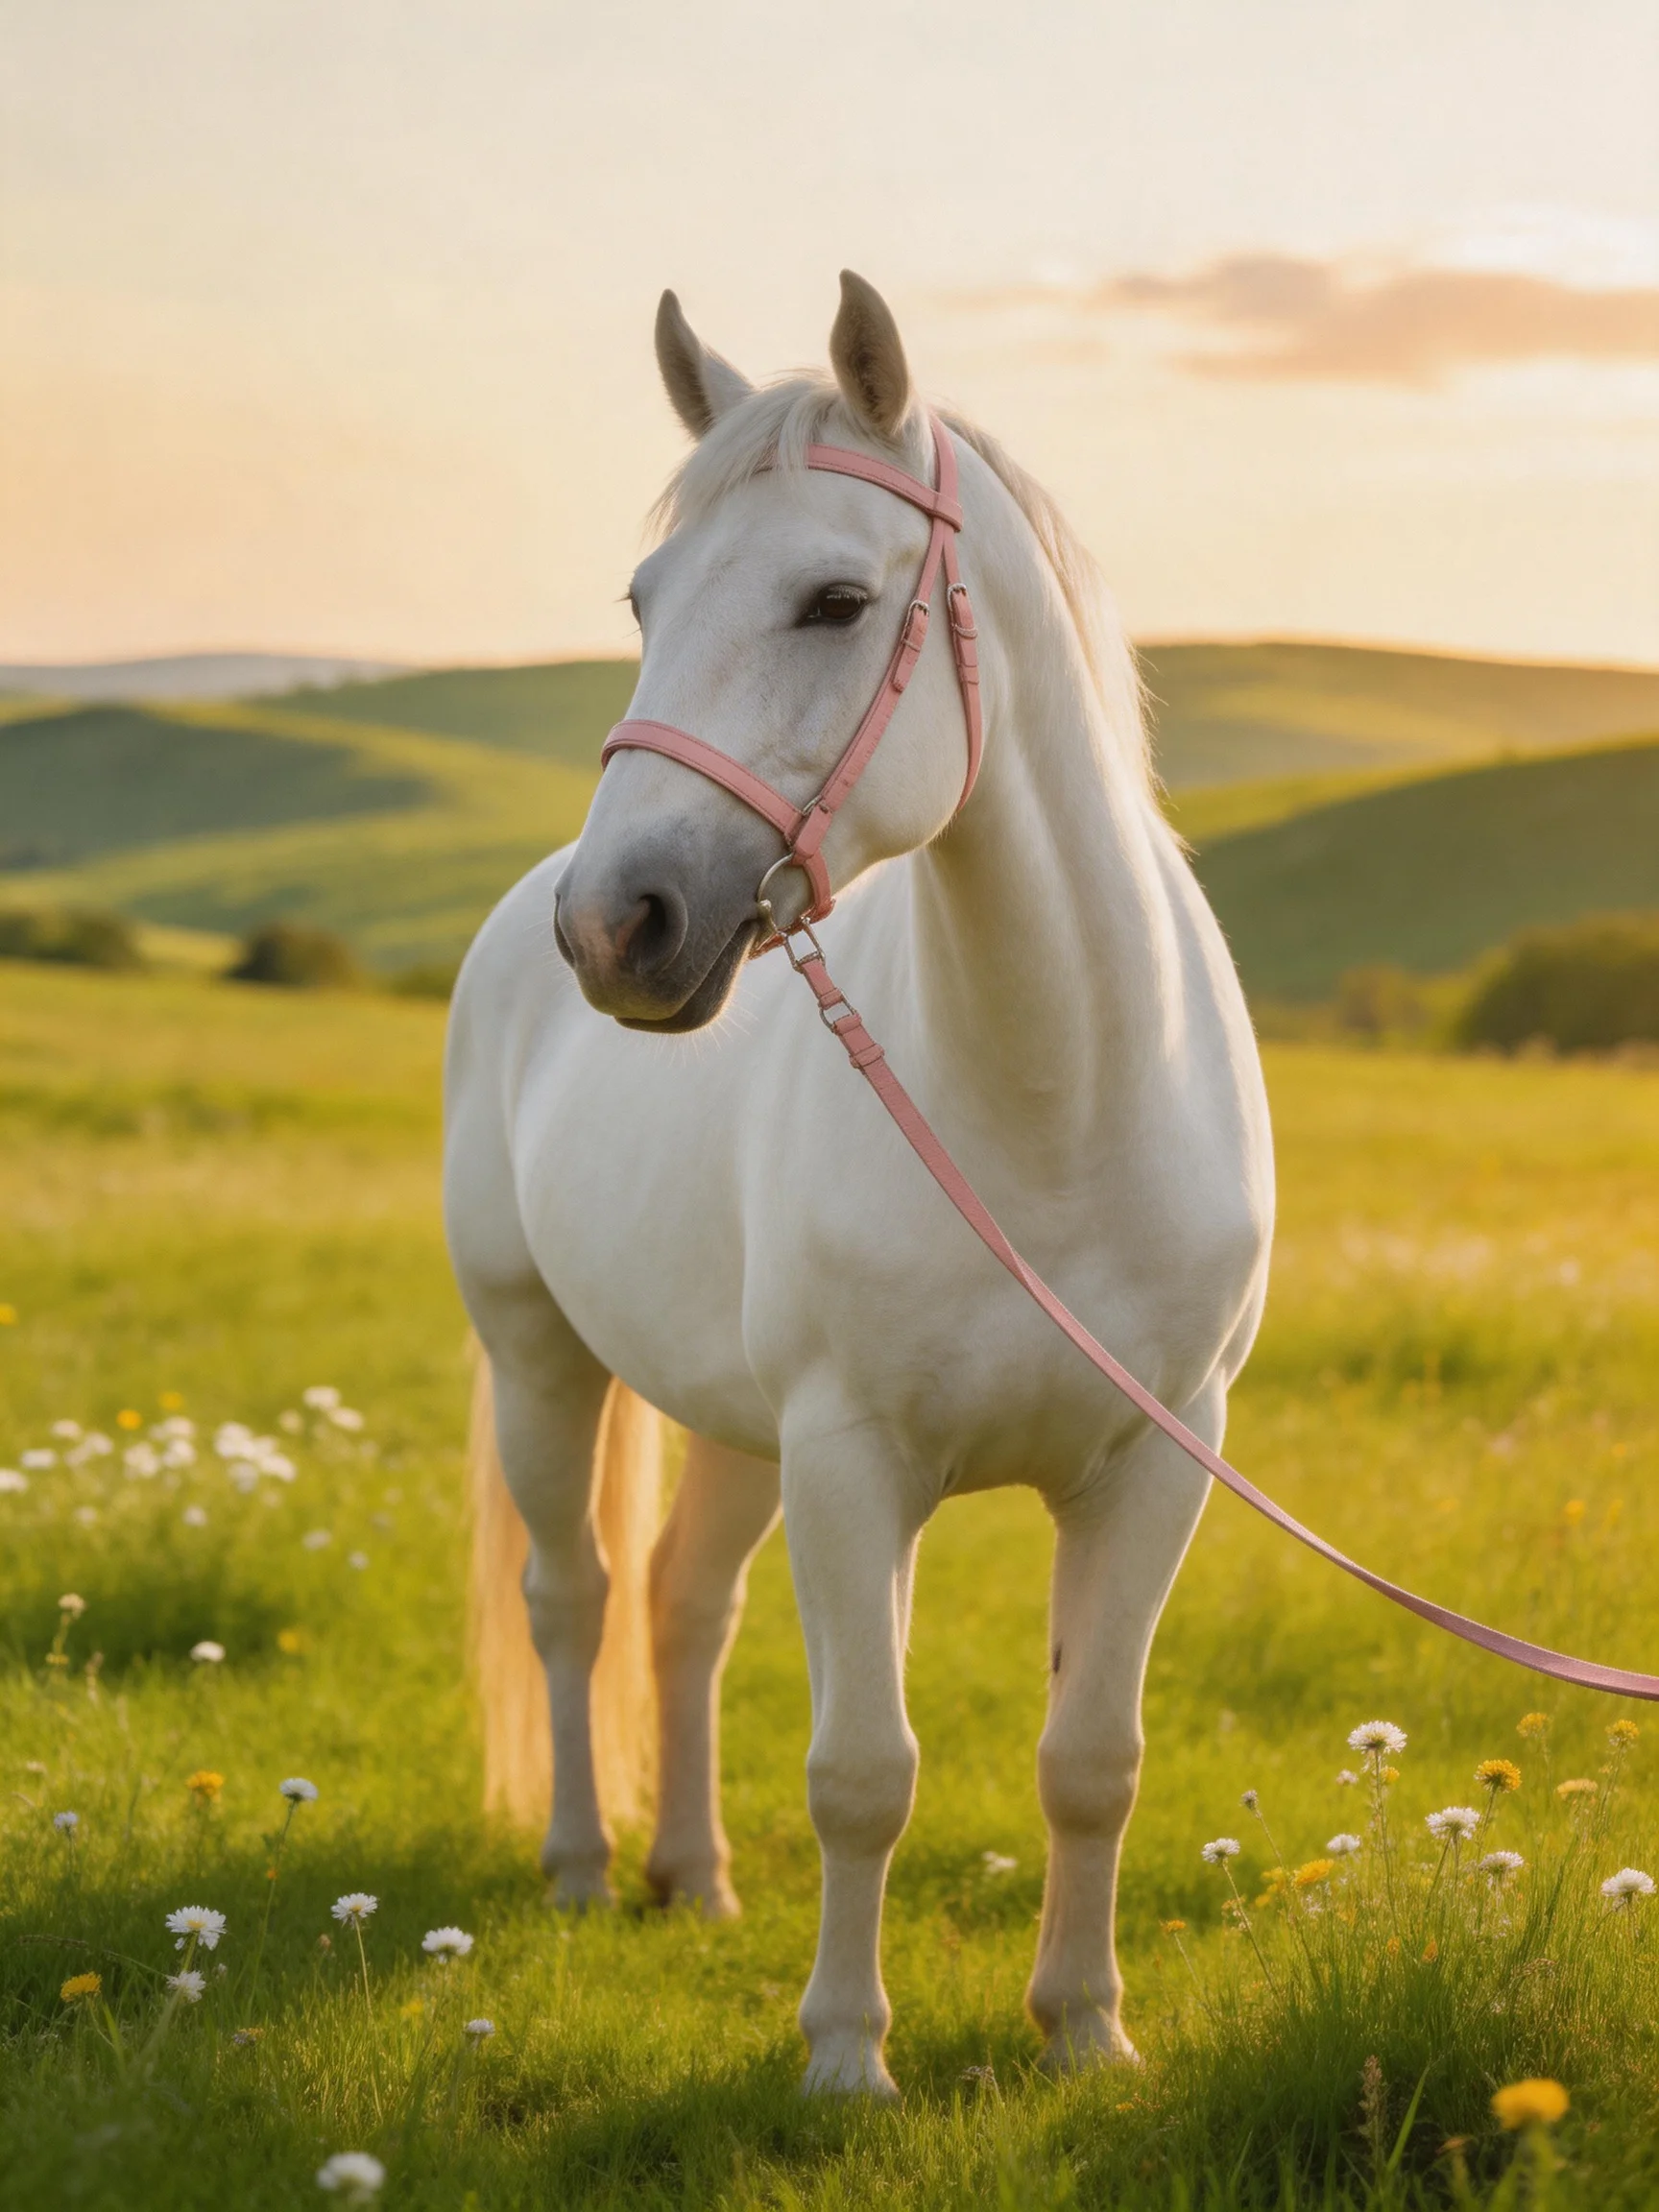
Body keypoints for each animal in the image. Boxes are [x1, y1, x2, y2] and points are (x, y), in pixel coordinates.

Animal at [444, 270, 1275, 2097]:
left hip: (732, 1424)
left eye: (833, 600)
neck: (1053, 1104)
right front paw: (842, 2057)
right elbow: (861, 1771)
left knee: (681, 1605)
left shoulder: (1153, 1461)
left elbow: (1090, 1757)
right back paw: (581, 1867)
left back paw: (691, 1876)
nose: (618, 927)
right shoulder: (851, 1458)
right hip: (543, 1358)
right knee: (572, 1599)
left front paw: (1084, 2030)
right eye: (643, 597)